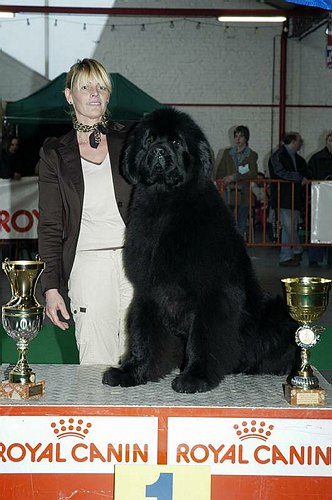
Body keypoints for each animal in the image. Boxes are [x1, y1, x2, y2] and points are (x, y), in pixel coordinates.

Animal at [102, 107, 298, 392]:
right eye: (149, 140)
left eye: (176, 142)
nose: (159, 151)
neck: (166, 204)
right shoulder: (149, 292)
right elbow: (143, 336)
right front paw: (132, 372)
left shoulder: (213, 293)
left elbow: (203, 338)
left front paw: (195, 376)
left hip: (277, 312)